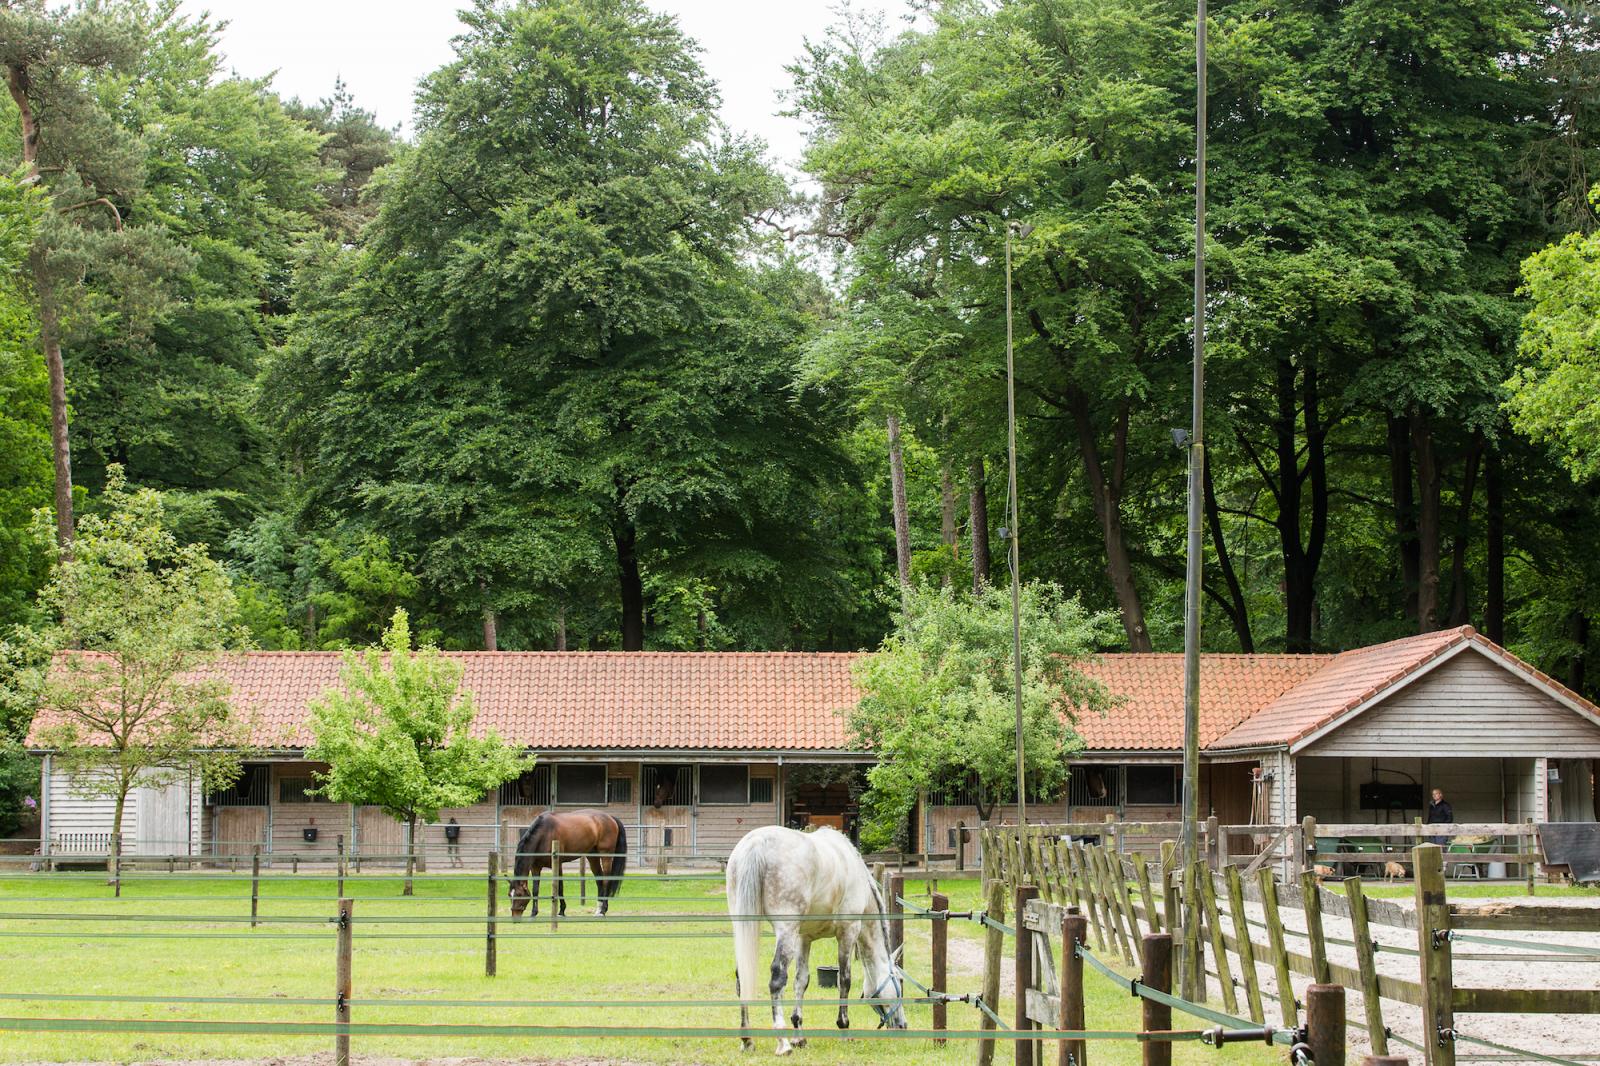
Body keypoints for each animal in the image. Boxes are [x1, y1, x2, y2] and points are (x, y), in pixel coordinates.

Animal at [729, 819, 908, 1043]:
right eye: (900, 980)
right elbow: (844, 979)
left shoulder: (803, 938)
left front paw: (799, 1034)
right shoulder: (848, 933)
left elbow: (801, 981)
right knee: (777, 978)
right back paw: (782, 1042)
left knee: (741, 976)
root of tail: (758, 842)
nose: (903, 1025)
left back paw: (747, 1040)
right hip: (785, 931)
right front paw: (844, 1027)